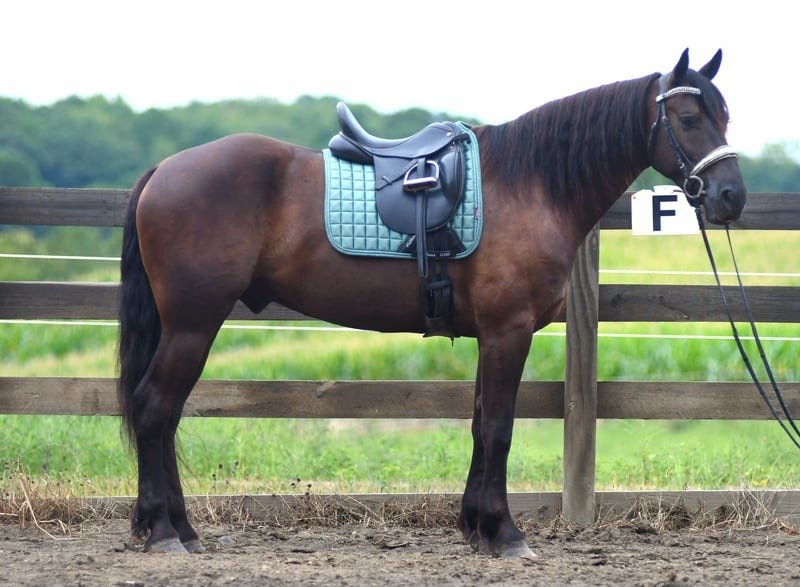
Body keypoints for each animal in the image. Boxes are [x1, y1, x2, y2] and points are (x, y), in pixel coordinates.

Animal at [117, 49, 746, 557]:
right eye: (689, 118)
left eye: (725, 115)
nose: (730, 197)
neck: (530, 185)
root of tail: (165, 169)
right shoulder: (508, 331)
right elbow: (498, 428)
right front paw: (505, 534)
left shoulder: (491, 336)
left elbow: (479, 425)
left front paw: (476, 528)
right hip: (193, 324)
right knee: (154, 409)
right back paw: (165, 532)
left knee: (166, 416)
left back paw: (181, 529)